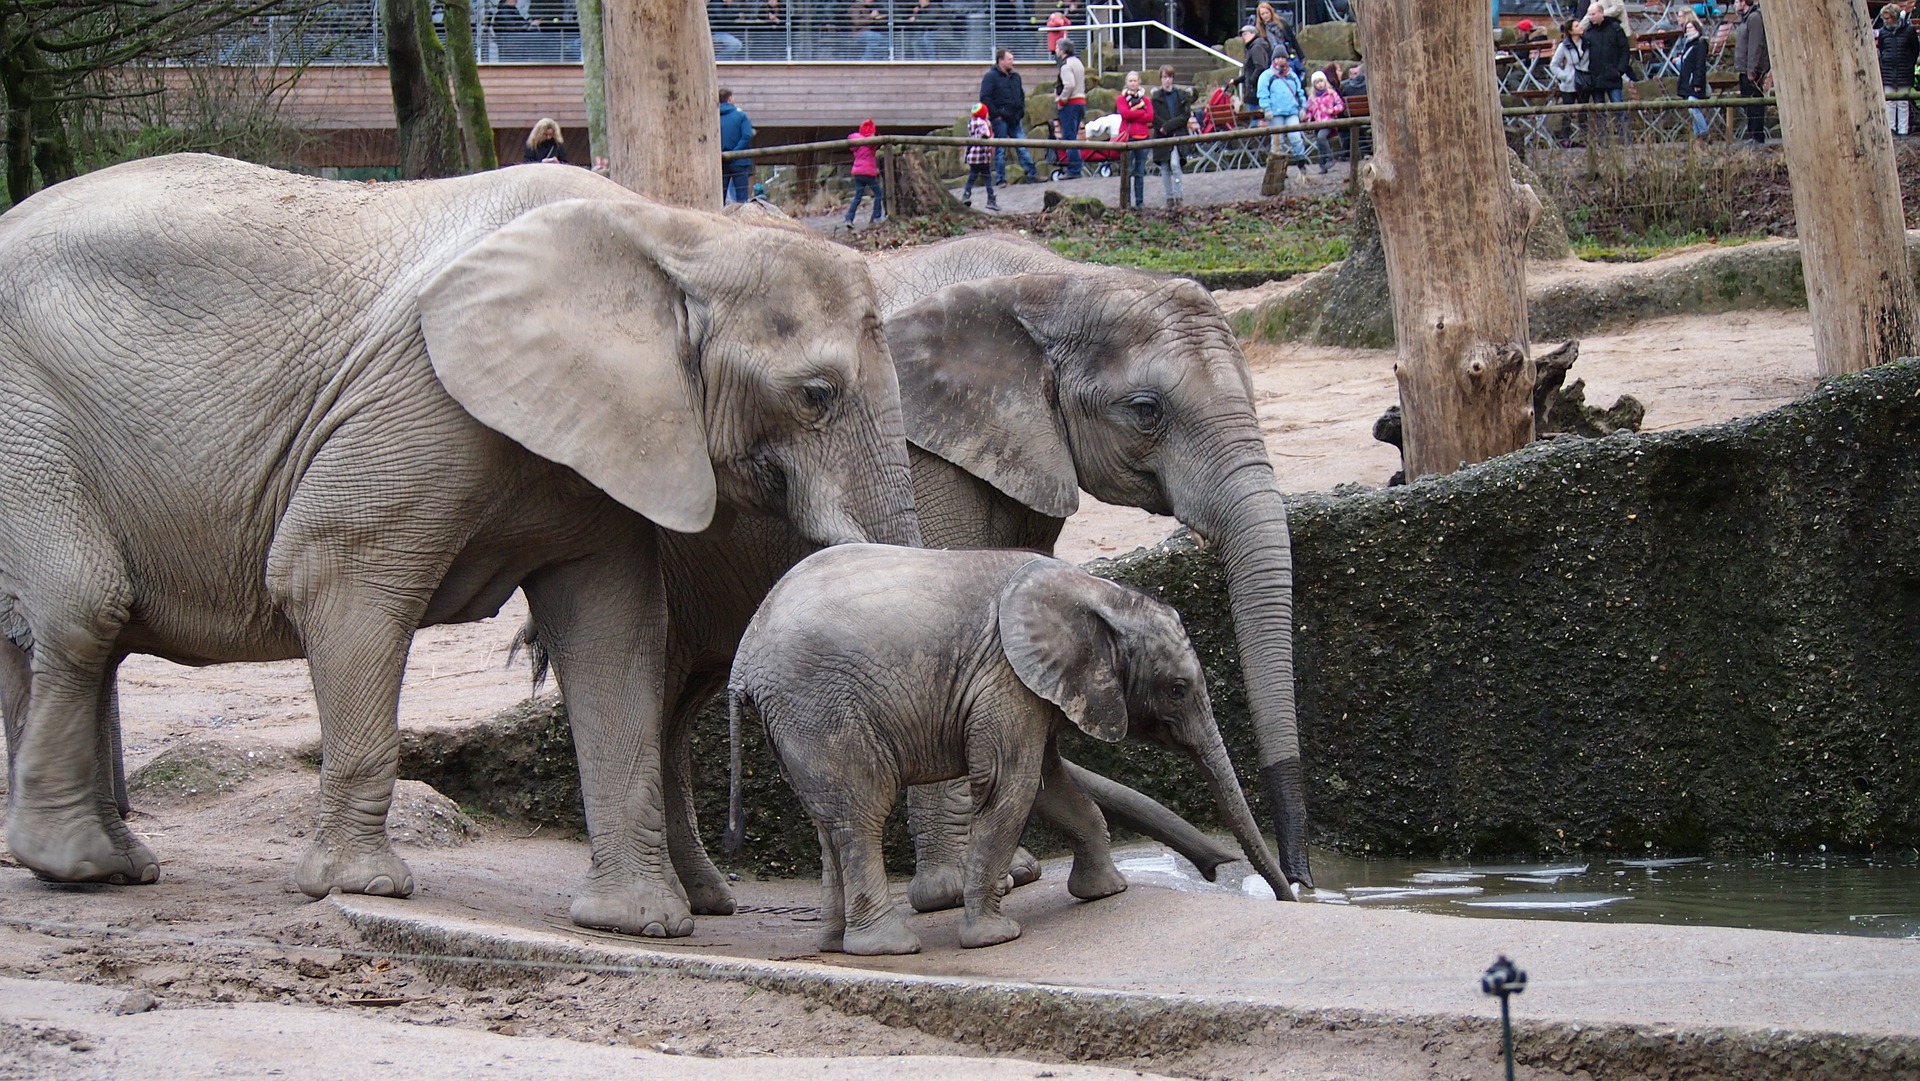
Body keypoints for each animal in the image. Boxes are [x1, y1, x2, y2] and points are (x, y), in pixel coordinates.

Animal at [0, 154, 913, 940]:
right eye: (817, 394)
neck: (676, 233)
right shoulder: (421, 396)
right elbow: (331, 573)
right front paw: (362, 887)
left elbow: (614, 631)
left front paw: (638, 922)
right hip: (25, 418)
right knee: (85, 610)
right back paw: (79, 865)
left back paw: (98, 862)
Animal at [729, 549, 1290, 956]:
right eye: (1177, 689)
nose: (1293, 897)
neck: (1095, 591)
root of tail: (744, 657)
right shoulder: (1006, 679)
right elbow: (1009, 787)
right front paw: (995, 938)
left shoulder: (1032, 690)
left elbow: (1051, 786)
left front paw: (1106, 892)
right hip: (821, 708)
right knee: (861, 812)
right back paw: (887, 948)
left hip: (798, 722)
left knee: (829, 824)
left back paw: (832, 945)